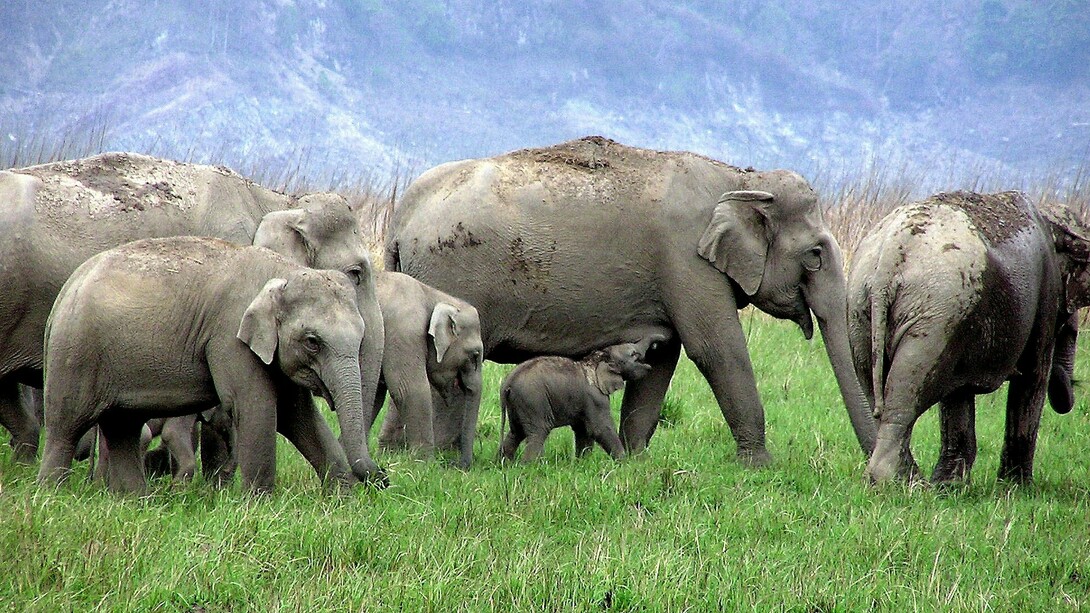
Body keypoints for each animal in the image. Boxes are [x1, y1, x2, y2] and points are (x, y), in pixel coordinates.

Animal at [37, 237, 386, 494]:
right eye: (313, 341)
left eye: (360, 337)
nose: (384, 477)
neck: (282, 273)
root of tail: (65, 291)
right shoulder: (229, 336)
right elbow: (256, 406)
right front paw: (258, 504)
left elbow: (297, 414)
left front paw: (342, 499)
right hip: (75, 354)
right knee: (66, 426)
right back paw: (53, 496)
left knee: (123, 426)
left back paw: (134, 501)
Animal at [499, 335, 665, 462]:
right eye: (633, 354)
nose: (659, 343)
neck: (598, 358)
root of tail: (507, 384)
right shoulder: (595, 398)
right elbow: (599, 428)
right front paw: (624, 463)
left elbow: (583, 430)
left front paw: (582, 463)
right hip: (533, 402)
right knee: (538, 433)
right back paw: (530, 467)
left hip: (517, 404)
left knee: (515, 433)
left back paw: (505, 465)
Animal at [847, 191, 1090, 484]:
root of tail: (891, 255)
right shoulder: (1046, 296)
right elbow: (1033, 378)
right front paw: (1017, 488)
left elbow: (958, 394)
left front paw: (949, 486)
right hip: (939, 313)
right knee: (904, 396)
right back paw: (901, 483)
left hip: (863, 309)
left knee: (876, 391)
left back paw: (911, 482)